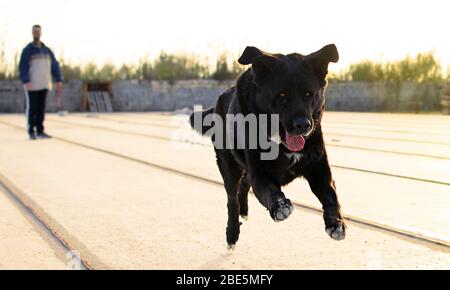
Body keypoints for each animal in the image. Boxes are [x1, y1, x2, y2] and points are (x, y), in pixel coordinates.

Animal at [189, 44, 344, 248]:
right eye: (282, 94)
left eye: (309, 94)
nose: (303, 125)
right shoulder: (261, 173)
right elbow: (269, 191)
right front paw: (280, 206)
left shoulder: (319, 170)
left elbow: (331, 196)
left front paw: (336, 223)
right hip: (228, 166)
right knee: (232, 199)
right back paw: (232, 233)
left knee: (244, 186)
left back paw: (244, 211)